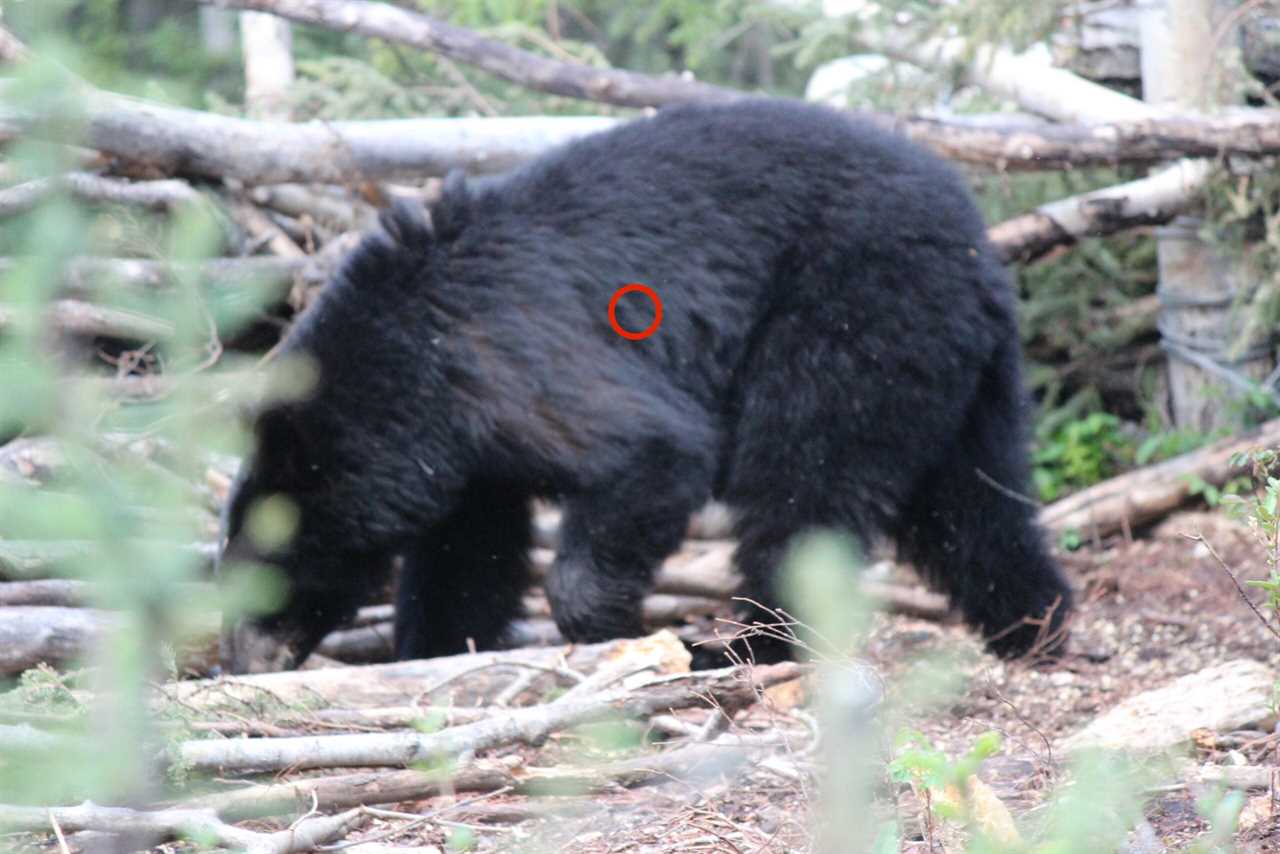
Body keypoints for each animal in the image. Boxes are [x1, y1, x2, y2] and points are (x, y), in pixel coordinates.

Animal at [217, 100, 1070, 676]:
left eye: (266, 576)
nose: (234, 657)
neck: (409, 360)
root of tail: (976, 241)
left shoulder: (508, 360)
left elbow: (651, 449)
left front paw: (606, 628)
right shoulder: (468, 453)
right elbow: (468, 552)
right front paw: (439, 649)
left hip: (854, 311)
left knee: (804, 482)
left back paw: (754, 646)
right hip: (951, 366)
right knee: (974, 504)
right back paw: (1036, 624)